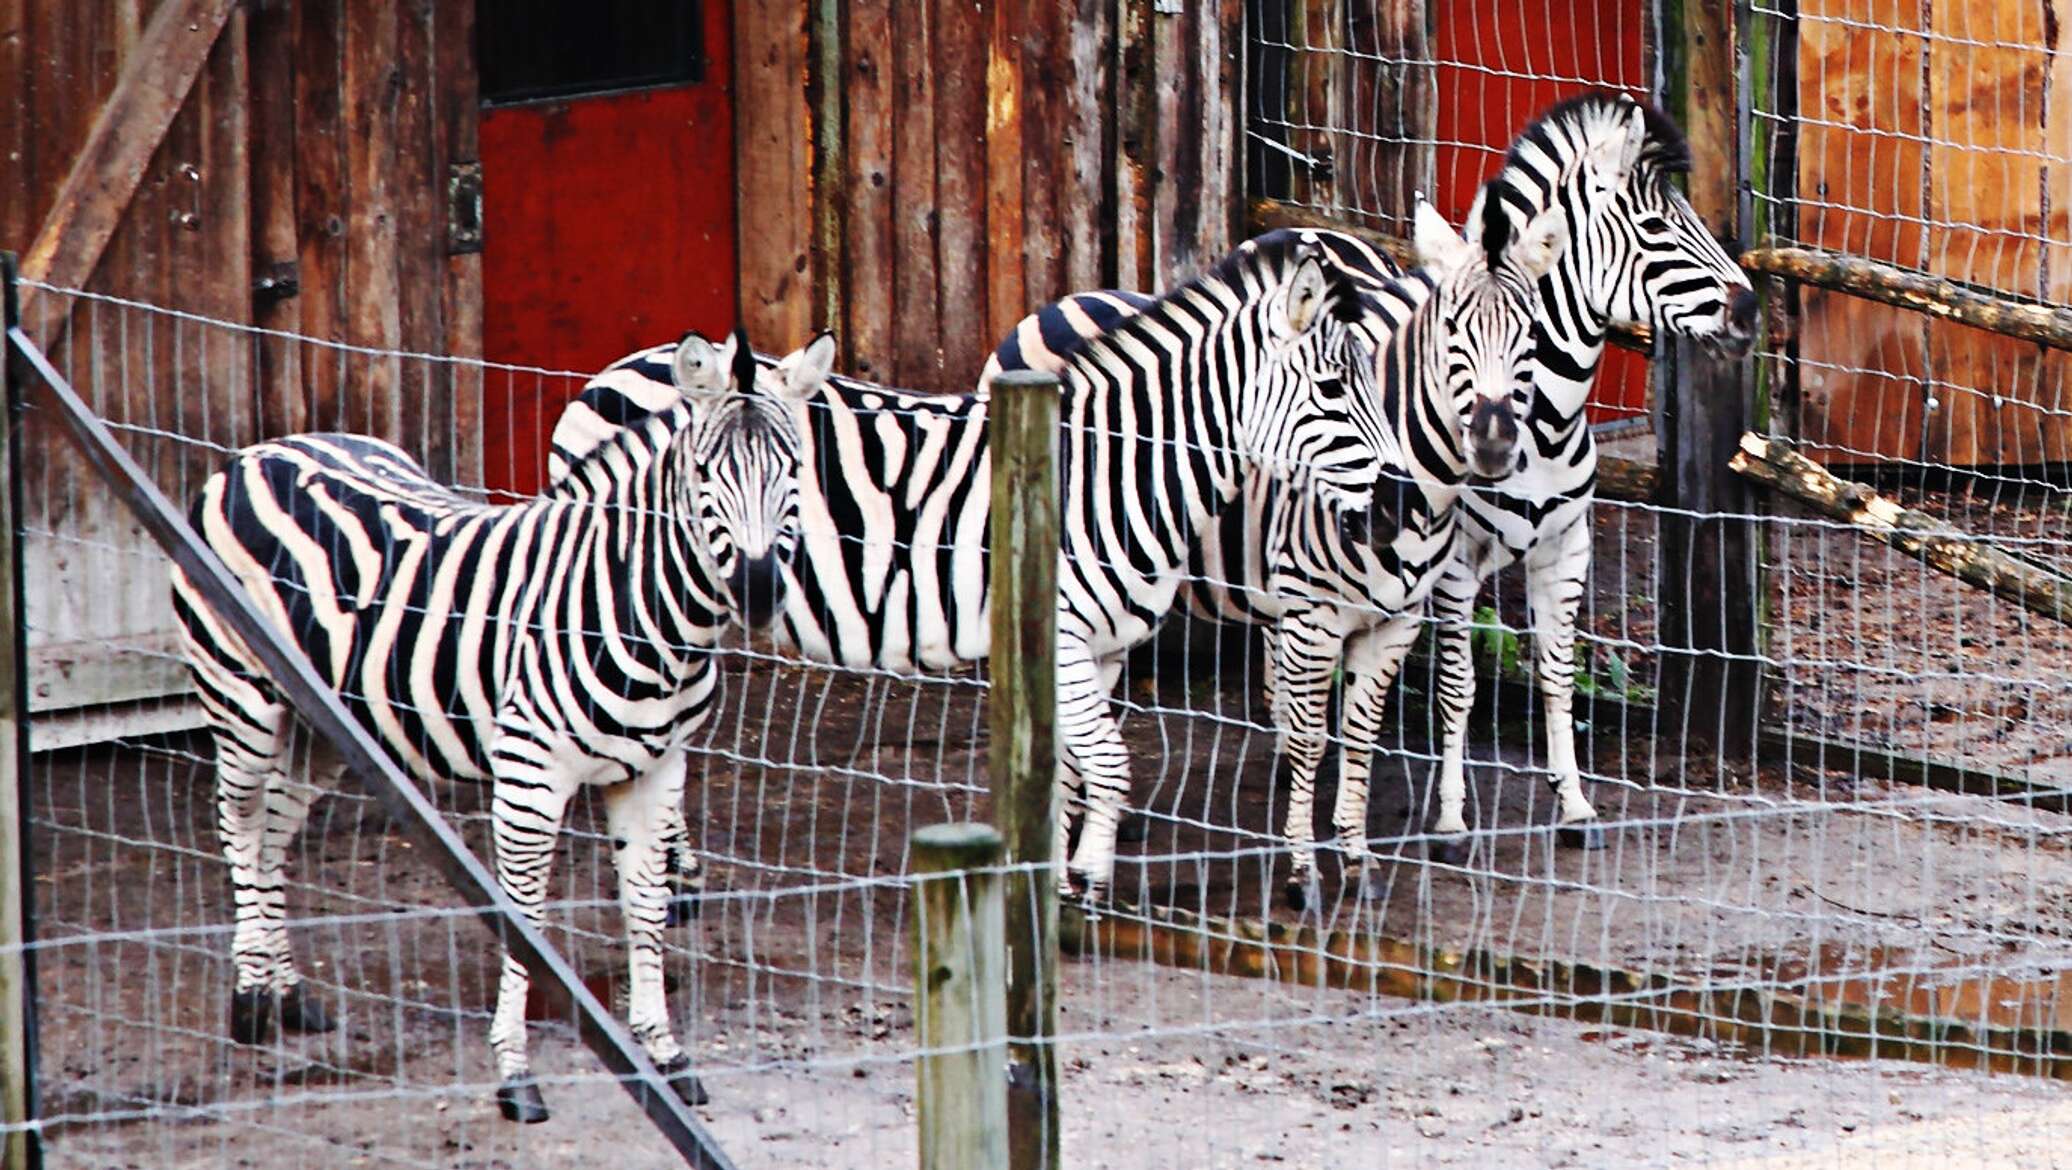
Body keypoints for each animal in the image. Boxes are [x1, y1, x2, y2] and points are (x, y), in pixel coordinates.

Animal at [169, 323, 832, 1118]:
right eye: (704, 474)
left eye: (794, 470)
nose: (760, 591)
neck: (640, 605)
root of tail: (262, 450)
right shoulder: (530, 771)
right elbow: (527, 918)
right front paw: (515, 1073)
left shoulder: (657, 768)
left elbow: (646, 906)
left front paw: (666, 1057)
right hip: (239, 690)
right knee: (239, 824)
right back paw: (249, 1003)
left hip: (325, 724)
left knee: (274, 830)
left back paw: (290, 996)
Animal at [547, 230, 1392, 902]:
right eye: (1331, 388)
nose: (1396, 502)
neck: (1109, 469)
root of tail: (616, 370)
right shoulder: (1063, 632)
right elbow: (1111, 764)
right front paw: (1082, 887)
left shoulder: (1101, 648)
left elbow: (1071, 768)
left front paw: (1059, 878)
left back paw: (677, 869)